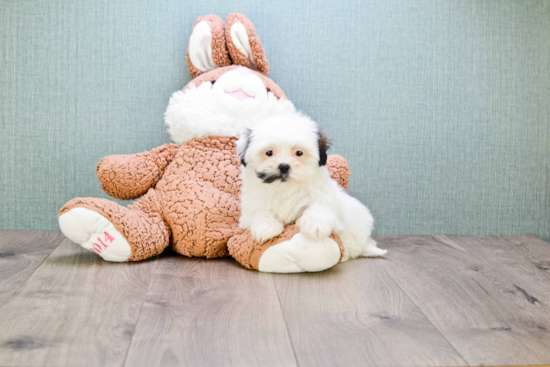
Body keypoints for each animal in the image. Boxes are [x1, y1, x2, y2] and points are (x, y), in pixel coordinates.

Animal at [238, 112, 388, 262]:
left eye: (299, 153)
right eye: (269, 153)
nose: (284, 166)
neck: (286, 188)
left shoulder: (324, 197)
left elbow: (318, 206)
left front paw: (315, 224)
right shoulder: (251, 206)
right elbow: (260, 212)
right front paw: (266, 227)